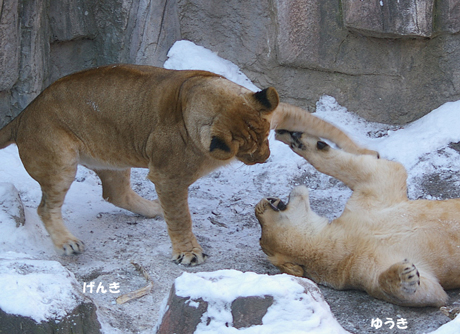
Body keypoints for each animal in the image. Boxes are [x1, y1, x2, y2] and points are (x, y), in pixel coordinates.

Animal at [0, 64, 374, 264]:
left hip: (114, 156)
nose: (265, 158)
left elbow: (325, 126)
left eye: (265, 139)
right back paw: (67, 242)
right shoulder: (168, 176)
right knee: (46, 207)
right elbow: (181, 217)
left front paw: (366, 153)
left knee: (115, 193)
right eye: (248, 151)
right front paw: (189, 253)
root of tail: (23, 114)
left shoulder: (278, 111)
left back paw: (152, 210)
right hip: (61, 162)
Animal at [255, 130, 460, 306]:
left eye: (260, 224)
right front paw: (405, 274)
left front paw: (298, 138)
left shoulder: (365, 207)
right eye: (261, 230)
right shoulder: (356, 268)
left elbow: (378, 171)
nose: (261, 202)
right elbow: (429, 292)